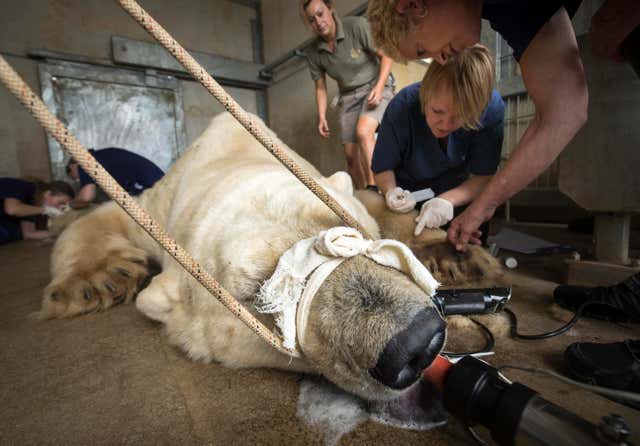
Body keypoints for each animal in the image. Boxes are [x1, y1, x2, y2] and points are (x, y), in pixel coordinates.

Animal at [40, 111, 502, 400]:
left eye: (343, 228)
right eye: (263, 296)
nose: (419, 342)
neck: (228, 155)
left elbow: (380, 198)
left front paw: (453, 256)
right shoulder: (157, 208)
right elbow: (106, 216)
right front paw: (96, 282)